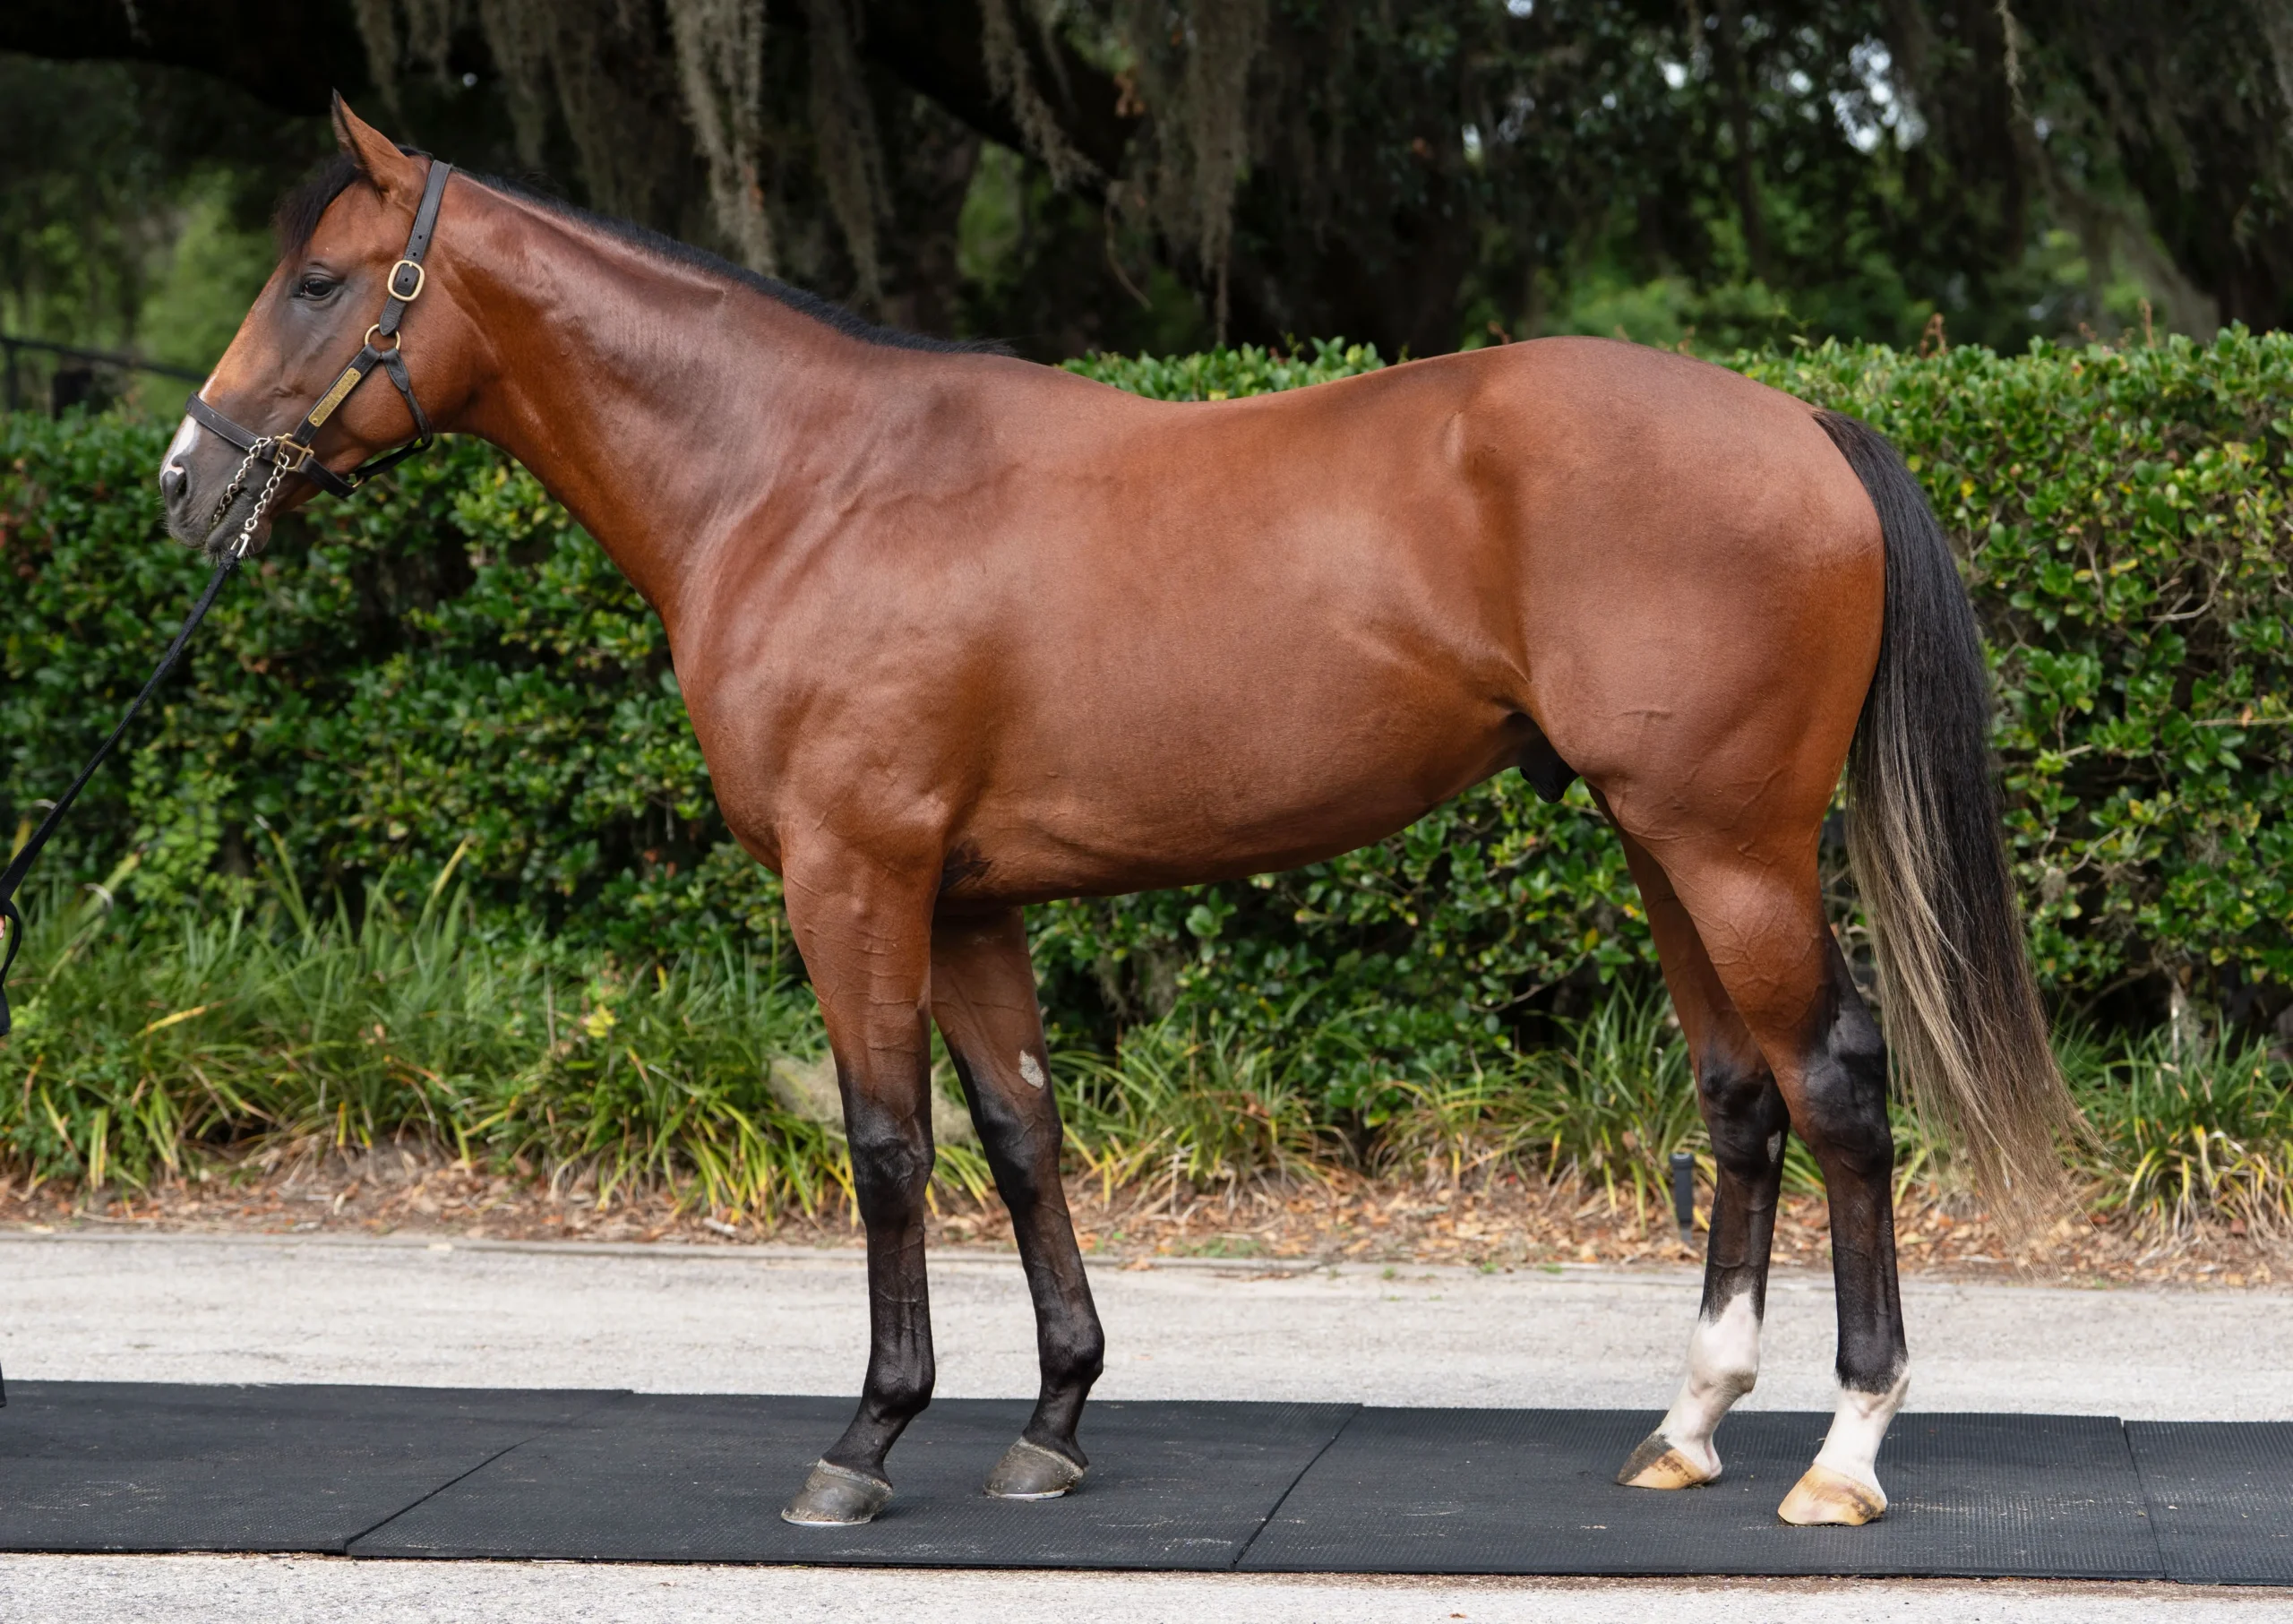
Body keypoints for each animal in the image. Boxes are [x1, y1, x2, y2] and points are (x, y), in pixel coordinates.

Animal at [157, 99, 2072, 1530]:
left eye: (321, 282)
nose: (186, 482)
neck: (802, 480)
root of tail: (1803, 423)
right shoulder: (969, 893)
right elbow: (1022, 1132)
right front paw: (1054, 1420)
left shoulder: (855, 879)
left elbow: (889, 1142)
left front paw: (867, 1439)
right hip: (1664, 841)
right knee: (1742, 1096)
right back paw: (1687, 1426)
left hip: (1730, 845)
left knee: (1837, 1084)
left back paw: (1843, 1453)